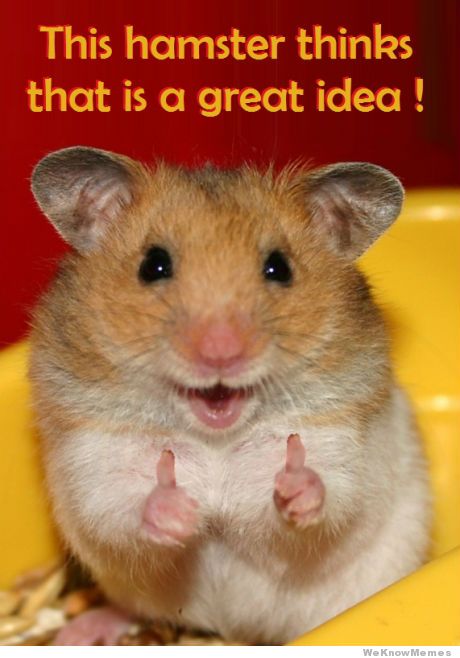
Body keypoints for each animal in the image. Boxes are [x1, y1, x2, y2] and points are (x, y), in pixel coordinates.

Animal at [28, 147, 431, 645]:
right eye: (153, 265)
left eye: (279, 268)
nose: (221, 352)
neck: (215, 437)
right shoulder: (94, 459)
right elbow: (119, 507)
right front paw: (181, 511)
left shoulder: (342, 447)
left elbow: (330, 496)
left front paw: (293, 484)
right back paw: (78, 632)